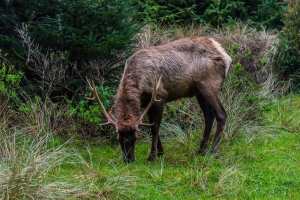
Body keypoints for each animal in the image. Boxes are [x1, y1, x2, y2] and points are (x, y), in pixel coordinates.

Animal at [86, 36, 232, 162]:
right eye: (119, 139)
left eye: (135, 138)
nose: (129, 159)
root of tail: (225, 55)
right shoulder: (146, 103)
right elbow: (152, 124)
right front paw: (161, 151)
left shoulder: (159, 96)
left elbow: (155, 127)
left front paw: (152, 156)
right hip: (198, 91)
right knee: (209, 116)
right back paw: (201, 150)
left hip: (209, 85)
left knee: (221, 114)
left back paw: (213, 150)